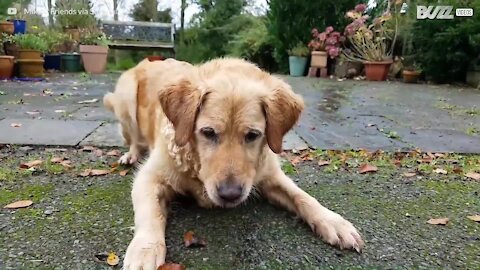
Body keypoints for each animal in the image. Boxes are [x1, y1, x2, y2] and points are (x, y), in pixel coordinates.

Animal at [115, 58, 364, 268]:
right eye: (208, 132)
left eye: (253, 135)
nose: (230, 194)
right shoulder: (149, 178)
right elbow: (150, 214)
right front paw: (145, 250)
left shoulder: (270, 176)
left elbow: (302, 197)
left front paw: (333, 221)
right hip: (125, 99)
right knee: (133, 139)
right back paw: (130, 155)